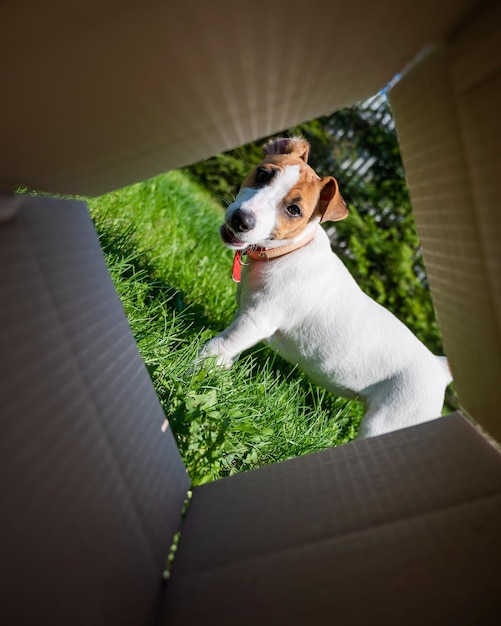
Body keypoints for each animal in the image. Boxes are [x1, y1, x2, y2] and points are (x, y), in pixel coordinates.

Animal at [198, 136, 450, 436]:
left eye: (294, 210)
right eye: (263, 175)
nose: (241, 219)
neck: (289, 251)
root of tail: (439, 368)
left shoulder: (256, 320)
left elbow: (218, 345)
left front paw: (194, 370)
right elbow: (226, 352)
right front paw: (217, 371)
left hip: (389, 420)